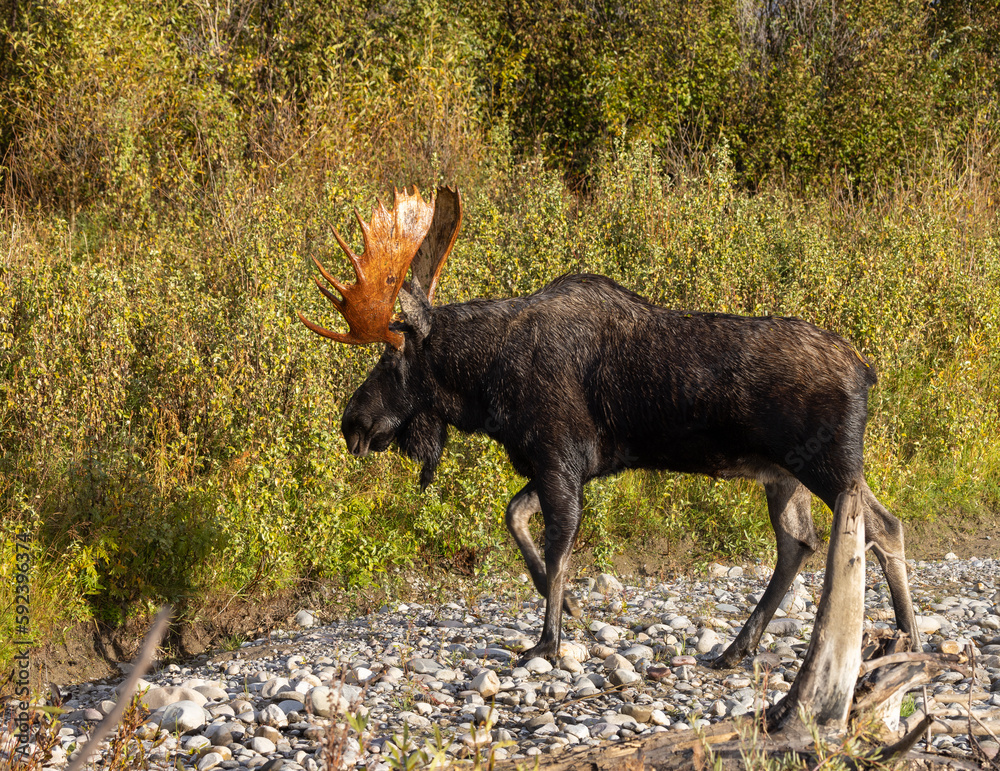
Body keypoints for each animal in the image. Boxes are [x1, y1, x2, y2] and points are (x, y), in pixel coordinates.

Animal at [298, 185, 919, 666]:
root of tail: (867, 371)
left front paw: (547, 641)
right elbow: (517, 519)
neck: (486, 384)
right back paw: (737, 648)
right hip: (783, 475)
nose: (351, 422)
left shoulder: (558, 456)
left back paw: (906, 636)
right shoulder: (569, 464)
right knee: (800, 543)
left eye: (390, 360)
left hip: (828, 463)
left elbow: (557, 546)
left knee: (884, 527)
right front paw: (567, 606)